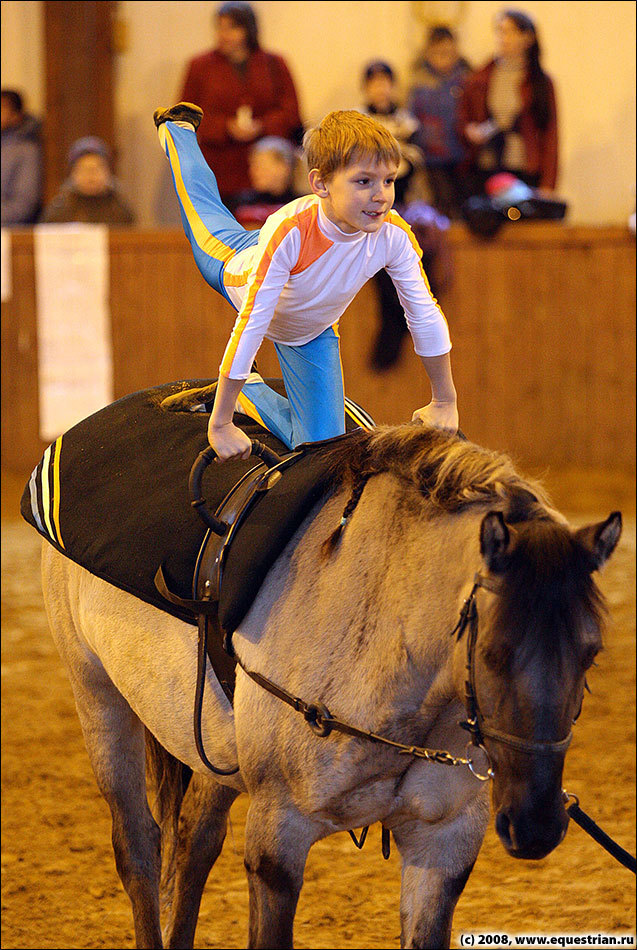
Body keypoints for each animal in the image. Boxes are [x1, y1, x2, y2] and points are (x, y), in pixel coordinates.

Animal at [38, 428, 620, 948]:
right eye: (493, 655)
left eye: (591, 654)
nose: (537, 824)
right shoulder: (278, 839)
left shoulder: (444, 842)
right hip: (98, 698)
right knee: (139, 847)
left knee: (195, 839)